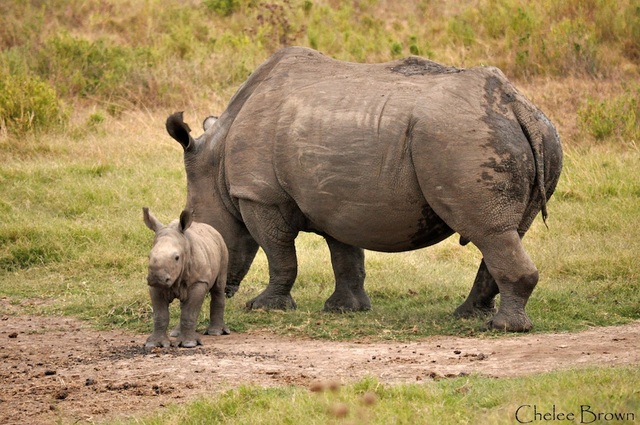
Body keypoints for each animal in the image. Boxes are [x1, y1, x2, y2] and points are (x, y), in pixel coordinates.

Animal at [142, 206, 230, 348]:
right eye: (149, 256)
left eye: (177, 258)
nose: (157, 278)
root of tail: (211, 228)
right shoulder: (155, 287)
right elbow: (160, 315)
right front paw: (154, 344)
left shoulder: (199, 281)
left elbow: (189, 313)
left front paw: (189, 343)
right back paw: (176, 333)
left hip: (222, 246)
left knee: (218, 288)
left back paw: (216, 332)